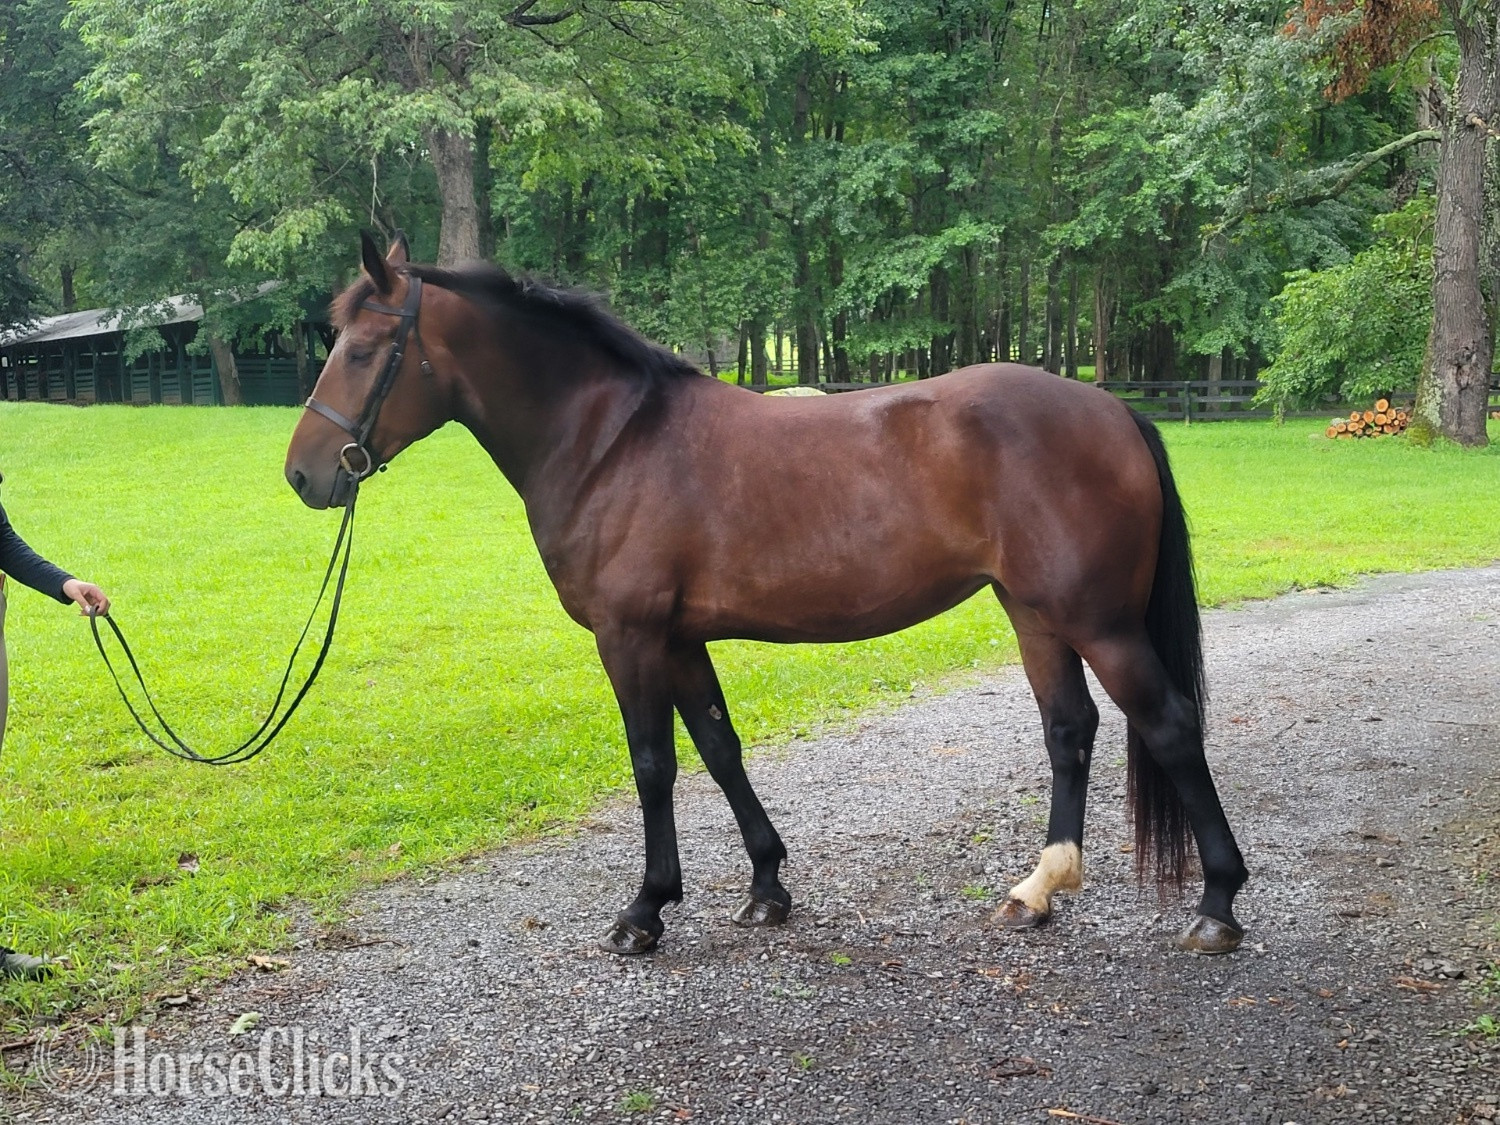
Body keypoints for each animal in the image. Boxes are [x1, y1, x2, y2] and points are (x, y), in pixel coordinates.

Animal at [284, 234, 1248, 957]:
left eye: (363, 350)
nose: (302, 475)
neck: (610, 442)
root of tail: (1114, 410)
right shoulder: (679, 638)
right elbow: (719, 748)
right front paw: (766, 886)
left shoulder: (629, 636)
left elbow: (653, 764)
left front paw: (644, 912)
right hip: (1035, 612)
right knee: (1069, 731)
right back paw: (1037, 890)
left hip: (1099, 621)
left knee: (1168, 724)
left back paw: (1218, 904)